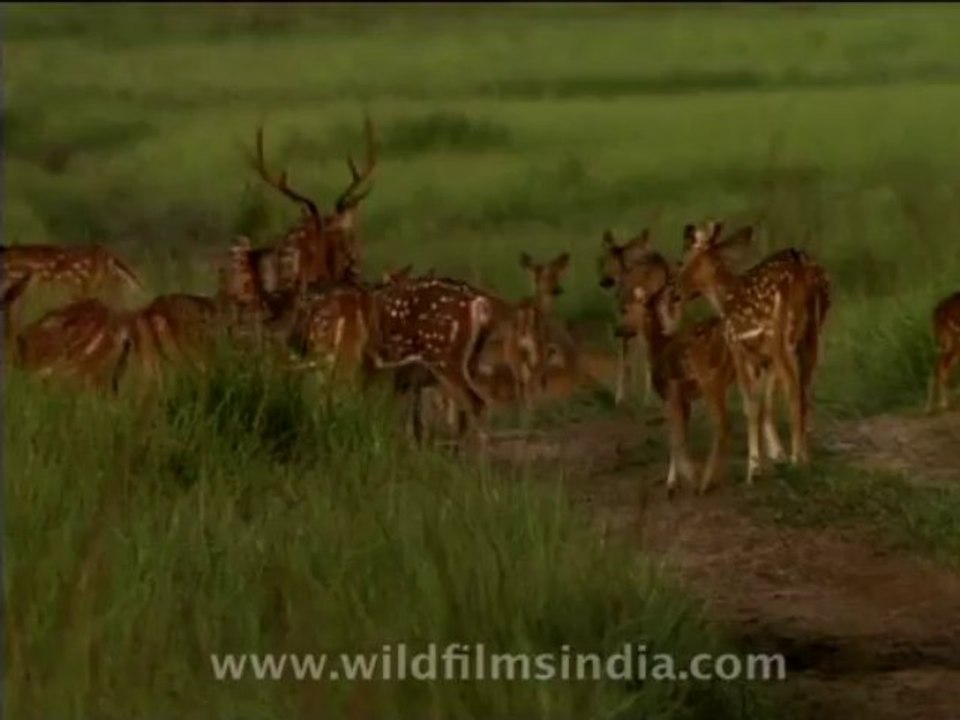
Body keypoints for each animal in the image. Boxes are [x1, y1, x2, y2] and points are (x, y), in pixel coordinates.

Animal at [676, 221, 832, 484]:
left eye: (682, 261)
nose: (675, 292)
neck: (724, 299)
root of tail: (804, 272)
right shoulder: (762, 359)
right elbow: (763, 404)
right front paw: (770, 463)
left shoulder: (738, 348)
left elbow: (750, 405)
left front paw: (754, 469)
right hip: (812, 337)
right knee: (806, 391)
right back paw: (806, 459)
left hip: (781, 337)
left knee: (794, 390)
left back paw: (796, 461)